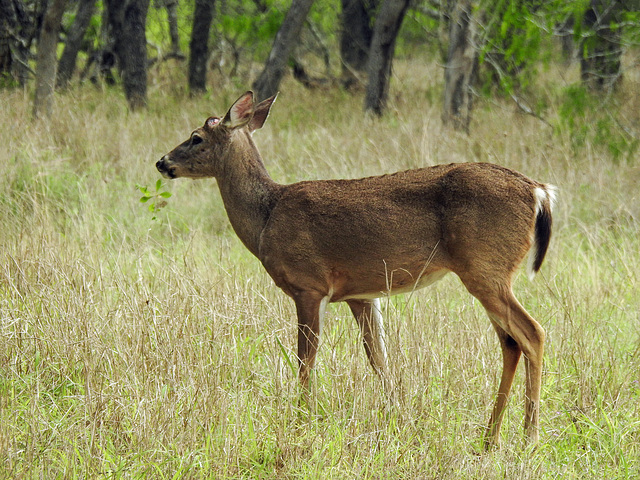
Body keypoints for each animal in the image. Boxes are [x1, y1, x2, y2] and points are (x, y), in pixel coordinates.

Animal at [155, 90, 556, 446]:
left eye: (196, 137)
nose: (162, 162)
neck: (267, 216)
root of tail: (538, 191)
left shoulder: (309, 284)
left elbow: (306, 360)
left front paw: (301, 421)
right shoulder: (361, 294)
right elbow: (379, 359)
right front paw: (397, 419)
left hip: (486, 268)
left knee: (532, 332)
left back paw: (530, 438)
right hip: (488, 273)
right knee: (510, 342)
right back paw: (489, 439)